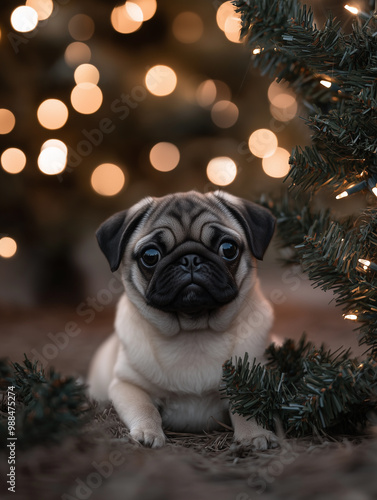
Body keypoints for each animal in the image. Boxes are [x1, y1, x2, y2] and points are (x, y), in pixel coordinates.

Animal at [87, 190, 276, 450]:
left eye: (228, 248)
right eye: (150, 256)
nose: (190, 259)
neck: (192, 333)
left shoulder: (253, 378)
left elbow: (248, 407)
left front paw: (254, 435)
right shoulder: (127, 385)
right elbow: (144, 408)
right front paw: (147, 433)